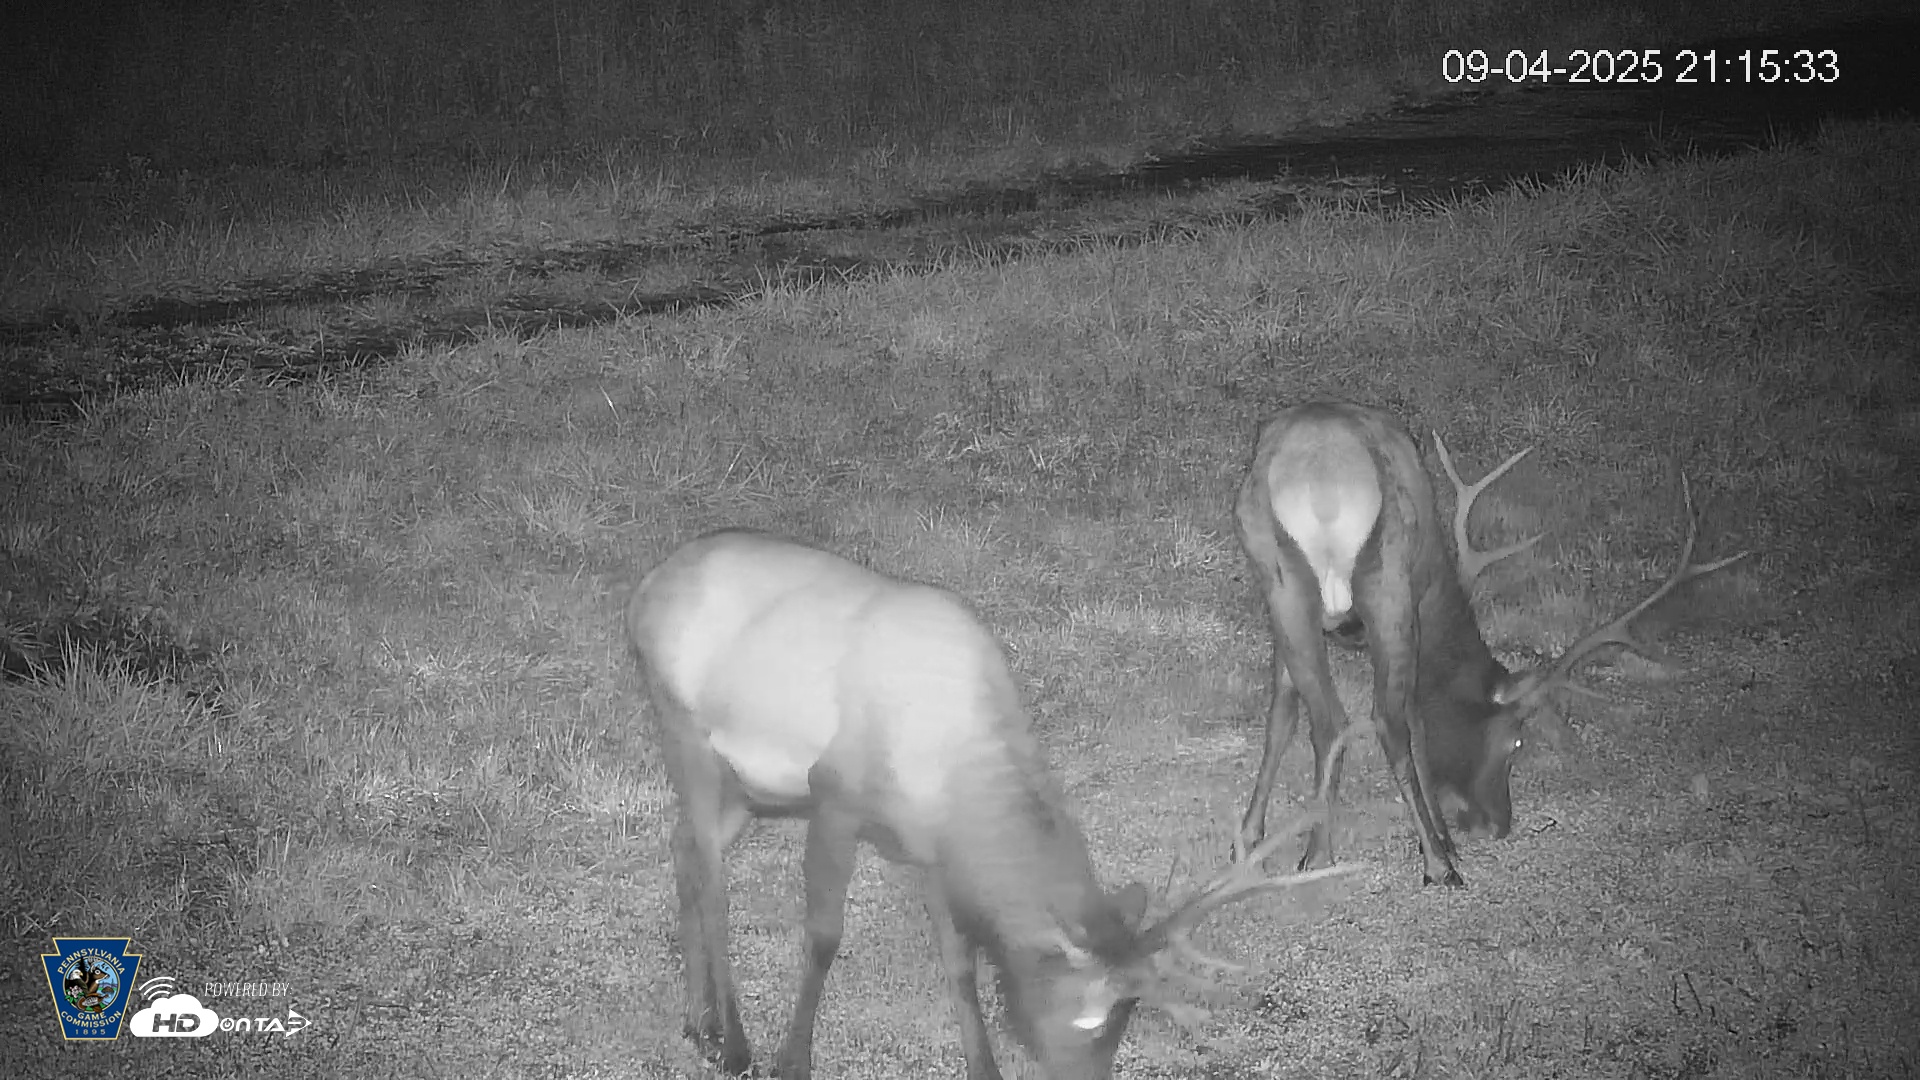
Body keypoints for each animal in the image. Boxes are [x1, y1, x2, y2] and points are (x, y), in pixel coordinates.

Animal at [627, 528, 1356, 1080]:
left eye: (1128, 1022)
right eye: (1090, 1015)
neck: (953, 770)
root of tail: (647, 585)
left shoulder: (927, 846)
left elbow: (959, 960)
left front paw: (984, 1067)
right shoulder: (834, 795)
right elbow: (824, 936)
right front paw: (791, 1061)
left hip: (752, 789)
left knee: (683, 847)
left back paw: (696, 1022)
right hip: (686, 732)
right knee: (714, 882)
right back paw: (732, 1042)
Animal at [1234, 402, 1748, 887]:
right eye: (1515, 740)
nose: (1499, 823)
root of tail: (1320, 488)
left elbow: (1281, 713)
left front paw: (1250, 836)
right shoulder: (1412, 606)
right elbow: (1417, 718)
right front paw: (1443, 839)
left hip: (1280, 580)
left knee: (1326, 720)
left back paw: (1312, 851)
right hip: (1386, 579)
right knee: (1378, 720)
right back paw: (1429, 863)